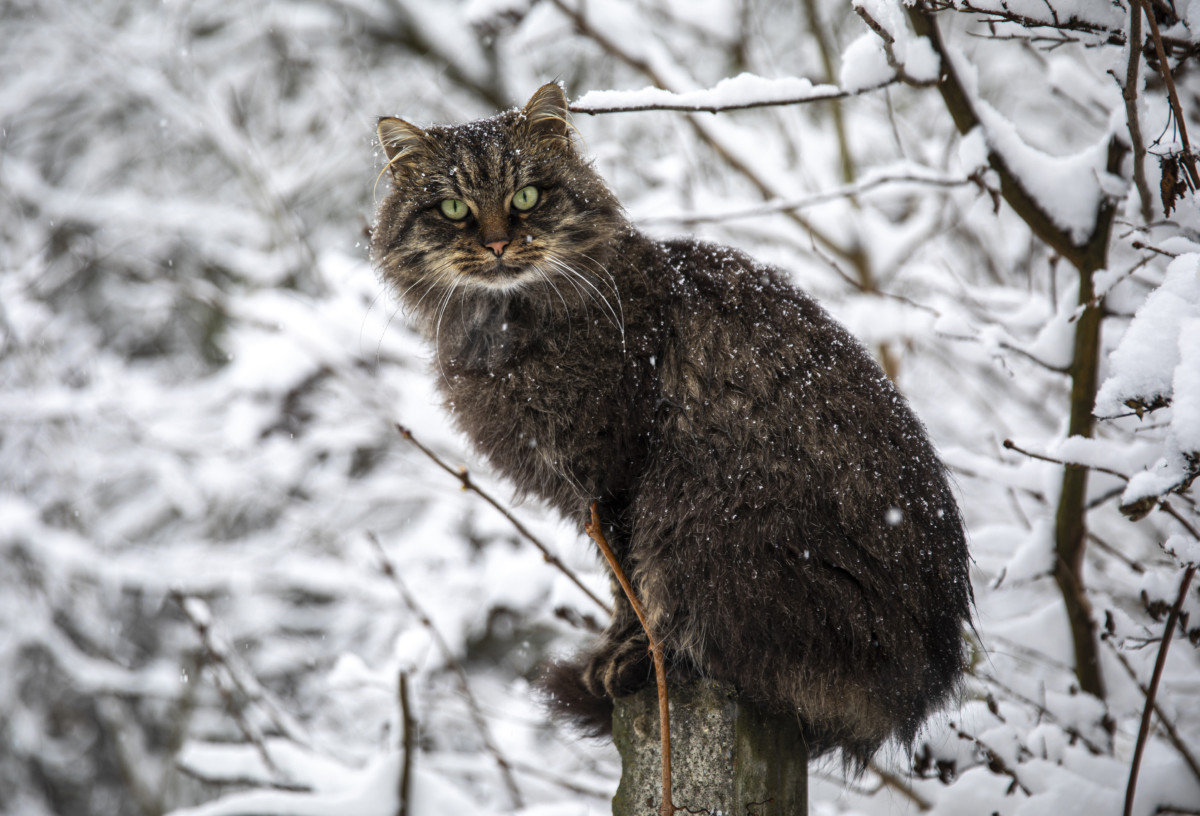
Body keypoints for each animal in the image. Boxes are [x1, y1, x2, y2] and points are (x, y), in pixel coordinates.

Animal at [372, 82, 974, 763]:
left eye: (527, 196)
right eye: (452, 208)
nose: (498, 243)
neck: (502, 328)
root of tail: (911, 698)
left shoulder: (615, 474)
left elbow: (628, 587)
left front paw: (624, 651)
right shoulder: (585, 492)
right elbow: (620, 581)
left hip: (707, 513)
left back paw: (653, 666)